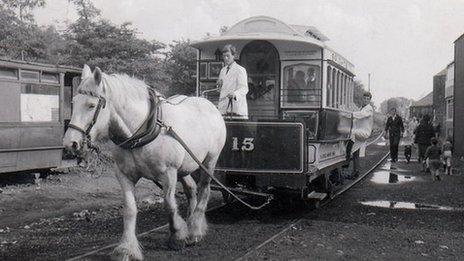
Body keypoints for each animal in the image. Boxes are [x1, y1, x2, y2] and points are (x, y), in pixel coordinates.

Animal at [63, 64, 227, 258]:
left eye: (91, 105)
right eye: (73, 103)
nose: (70, 143)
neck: (139, 134)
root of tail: (209, 104)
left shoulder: (168, 173)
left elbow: (169, 204)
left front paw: (177, 236)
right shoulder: (124, 175)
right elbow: (129, 209)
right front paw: (126, 248)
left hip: (210, 161)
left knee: (204, 189)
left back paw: (195, 229)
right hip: (185, 166)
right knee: (191, 189)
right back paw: (192, 222)